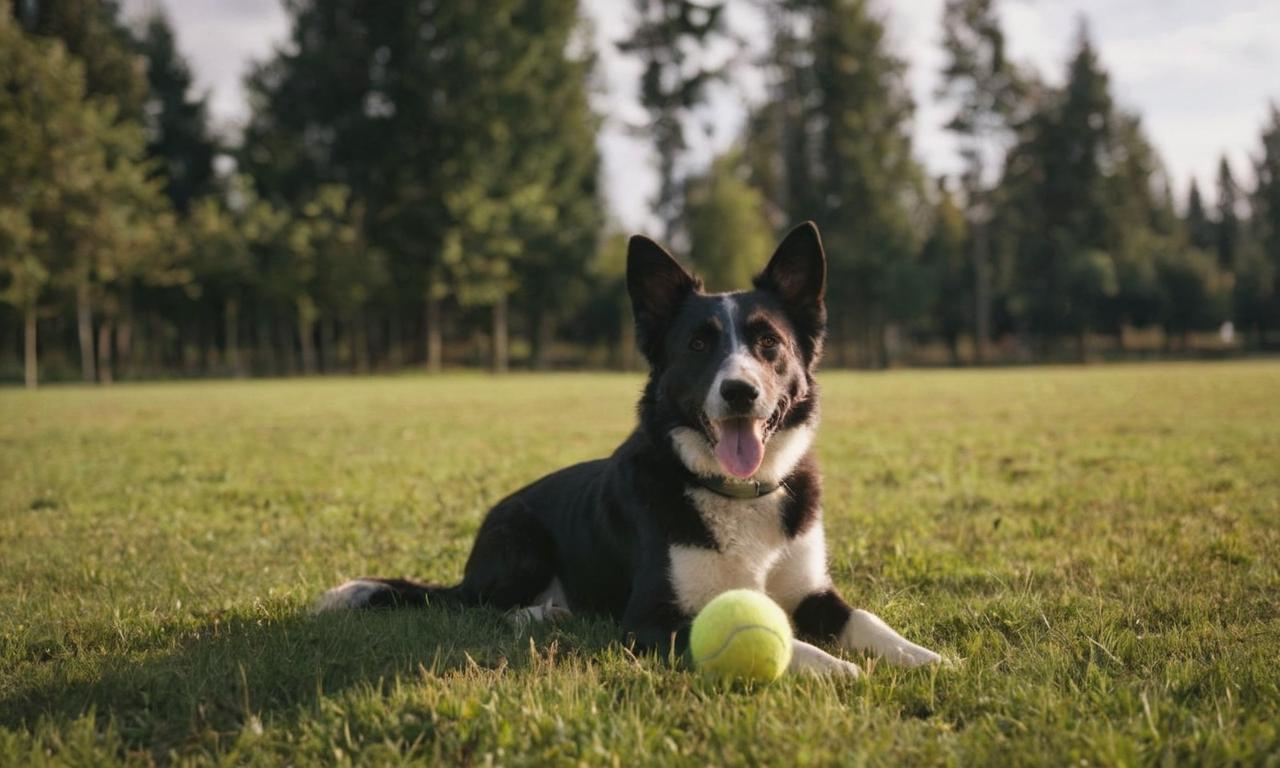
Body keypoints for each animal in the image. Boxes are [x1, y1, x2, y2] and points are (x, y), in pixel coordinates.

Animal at [320, 224, 942, 675]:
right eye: (698, 344)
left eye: (769, 343)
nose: (740, 392)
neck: (736, 493)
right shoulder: (649, 619)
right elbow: (775, 635)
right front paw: (836, 668)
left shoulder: (814, 593)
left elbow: (867, 618)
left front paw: (922, 656)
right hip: (520, 544)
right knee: (479, 606)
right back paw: (536, 613)